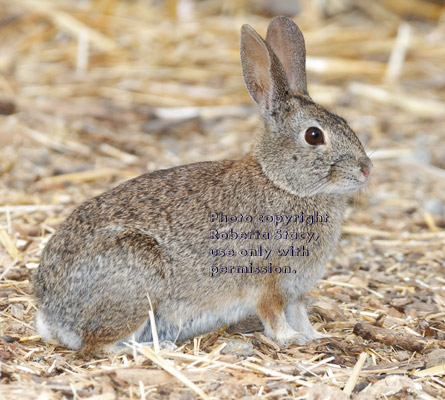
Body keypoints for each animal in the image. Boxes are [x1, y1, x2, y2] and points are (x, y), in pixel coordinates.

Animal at [32, 15, 372, 354]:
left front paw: (314, 336)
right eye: (314, 135)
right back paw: (157, 348)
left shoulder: (295, 290)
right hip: (136, 278)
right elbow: (273, 314)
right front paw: (291, 339)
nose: (366, 169)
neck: (281, 183)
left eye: (344, 122)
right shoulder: (267, 280)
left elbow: (299, 312)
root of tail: (52, 316)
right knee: (97, 346)